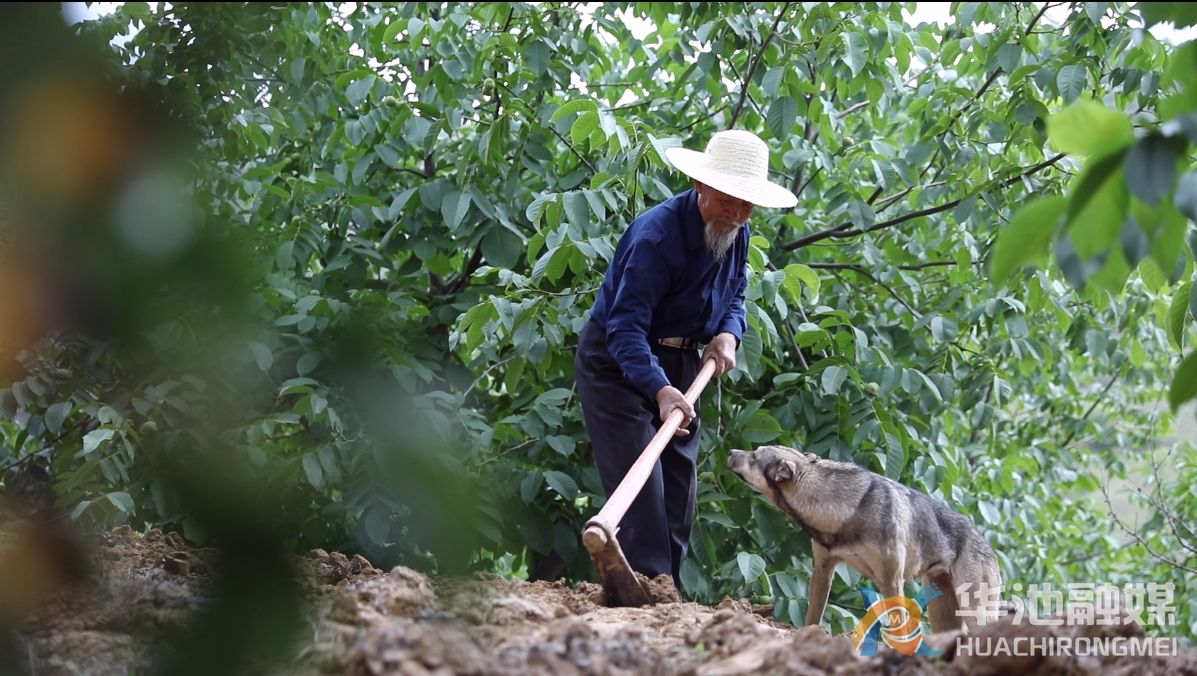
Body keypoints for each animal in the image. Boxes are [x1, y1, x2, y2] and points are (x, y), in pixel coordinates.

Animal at [727, 445, 1001, 633]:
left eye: (754, 457)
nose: (729, 451)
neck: (846, 509)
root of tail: (988, 545)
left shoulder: (891, 580)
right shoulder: (823, 568)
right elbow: (812, 616)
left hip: (973, 612)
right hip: (942, 614)